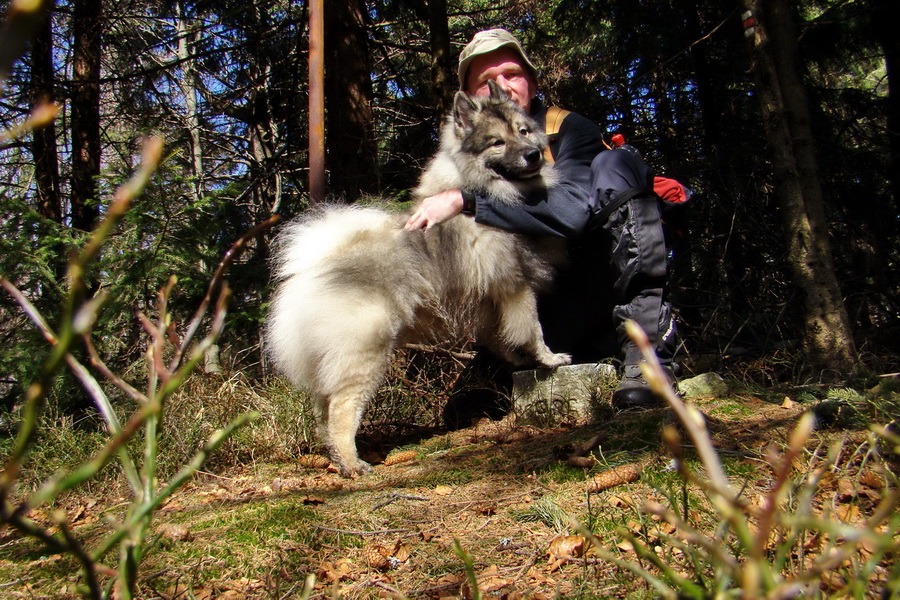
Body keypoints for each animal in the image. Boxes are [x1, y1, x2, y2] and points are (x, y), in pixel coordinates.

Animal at [264, 83, 568, 478]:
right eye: (497, 143)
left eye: (525, 131)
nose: (532, 155)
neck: (480, 192)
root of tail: (313, 268)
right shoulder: (514, 284)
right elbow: (532, 328)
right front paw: (548, 358)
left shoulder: (489, 301)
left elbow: (501, 336)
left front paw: (517, 361)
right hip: (365, 354)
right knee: (342, 411)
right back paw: (354, 462)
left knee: (323, 412)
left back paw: (337, 460)